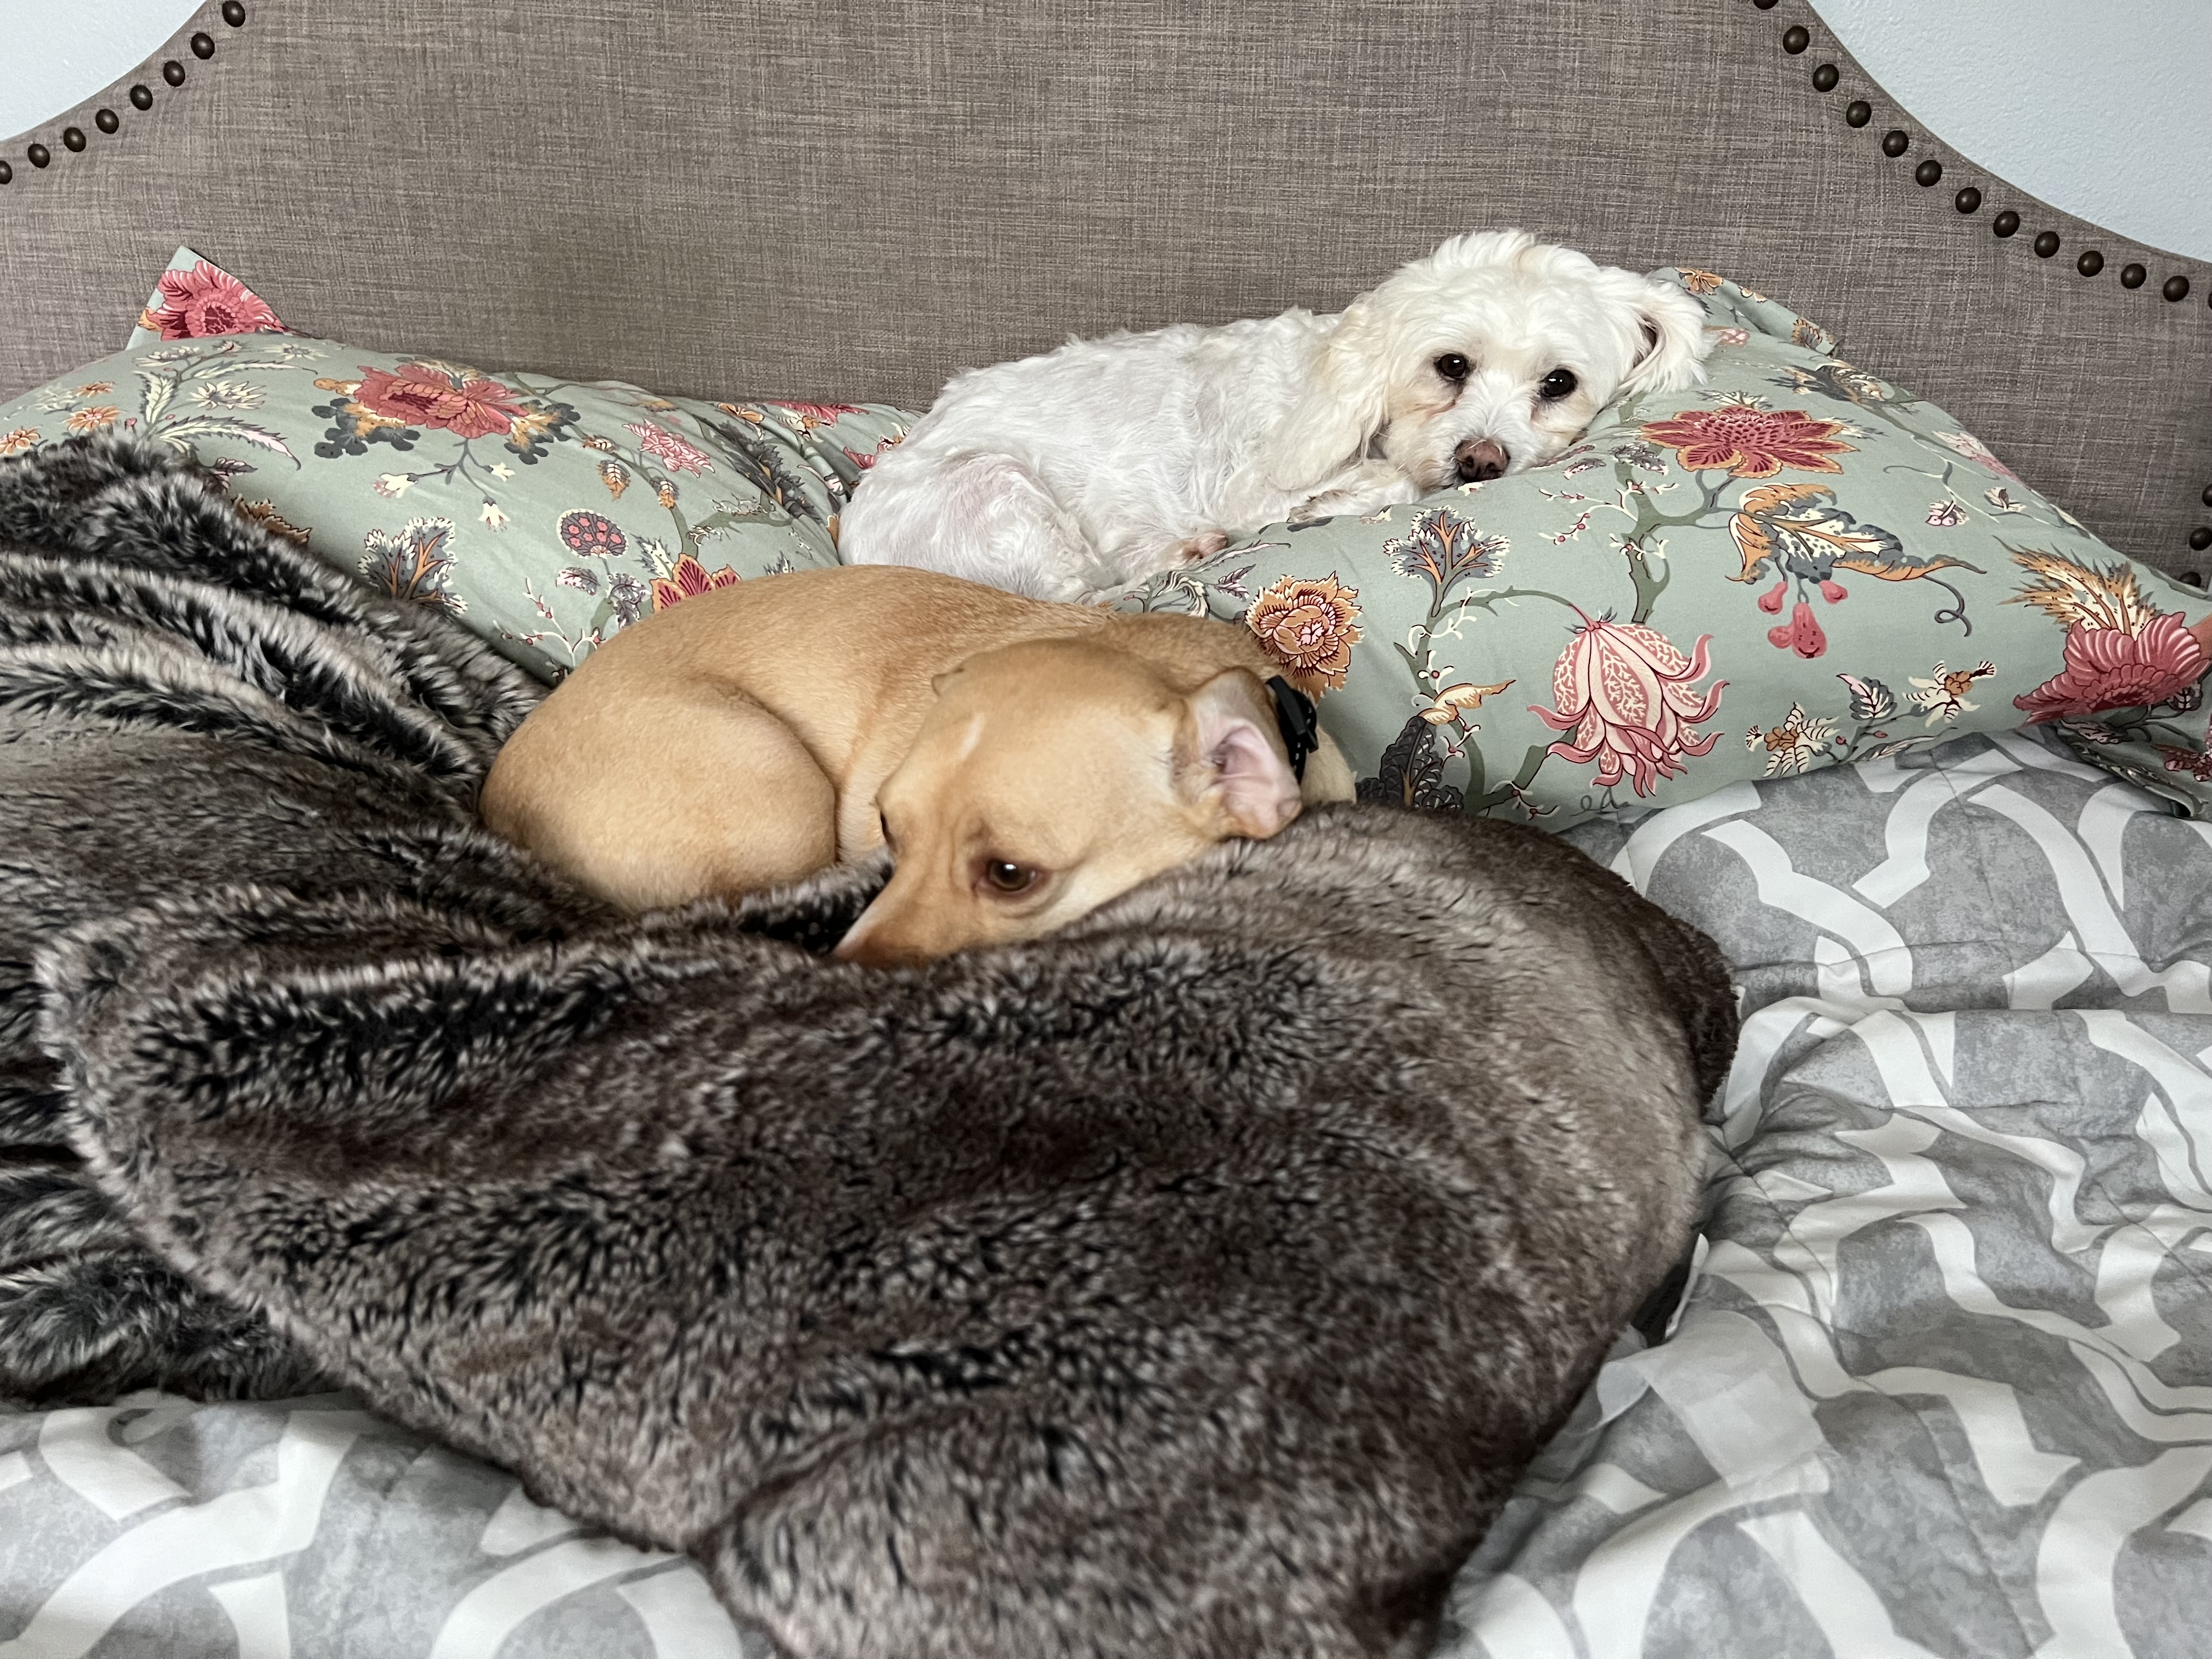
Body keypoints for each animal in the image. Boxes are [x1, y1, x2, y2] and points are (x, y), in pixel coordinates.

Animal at [839, 229, 1714, 601]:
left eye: (1559, 382)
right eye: (1451, 365)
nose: (1481, 463)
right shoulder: (1246, 482)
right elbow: (1384, 483)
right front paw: (1347, 492)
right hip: (995, 492)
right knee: (1077, 596)